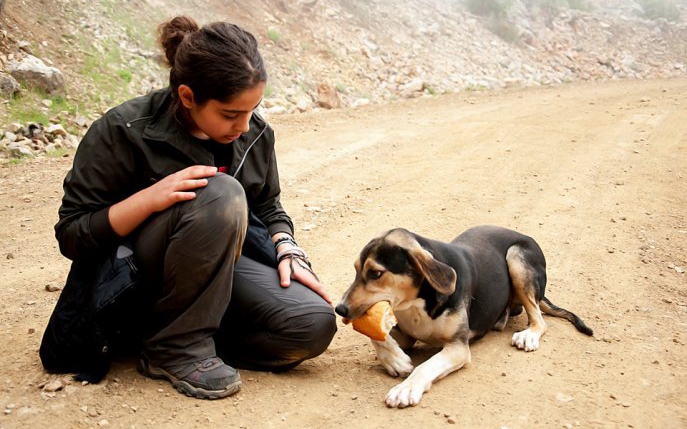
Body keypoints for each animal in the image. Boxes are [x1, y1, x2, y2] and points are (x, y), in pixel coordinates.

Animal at [336, 224, 592, 408]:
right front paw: (395, 360)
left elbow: (425, 366)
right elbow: (377, 337)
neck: (417, 303)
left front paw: (406, 388)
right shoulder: (404, 334)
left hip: (517, 259)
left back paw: (528, 335)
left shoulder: (458, 347)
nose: (339, 309)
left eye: (376, 273)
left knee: (538, 317)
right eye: (356, 270)